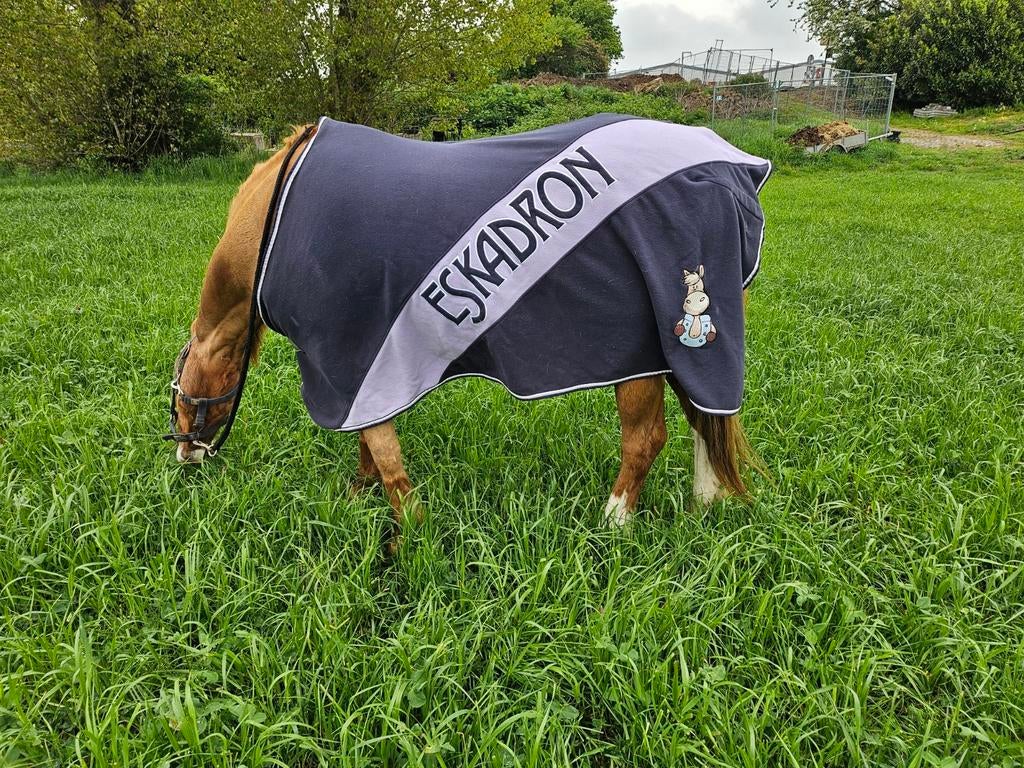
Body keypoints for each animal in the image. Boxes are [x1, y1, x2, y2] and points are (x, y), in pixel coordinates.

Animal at [166, 122, 762, 539]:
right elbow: (368, 442)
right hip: (675, 352)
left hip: (641, 355)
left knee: (646, 439)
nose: (186, 455)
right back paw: (704, 504)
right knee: (703, 420)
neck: (275, 223)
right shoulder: (361, 371)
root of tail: (730, 168)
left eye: (176, 393)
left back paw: (612, 522)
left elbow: (384, 453)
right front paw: (359, 497)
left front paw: (410, 533)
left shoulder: (346, 359)